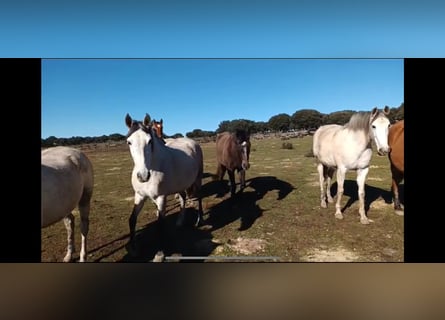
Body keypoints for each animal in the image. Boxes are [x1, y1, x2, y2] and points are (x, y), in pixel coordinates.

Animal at [123, 112, 203, 258]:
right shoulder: (139, 196)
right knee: (183, 197)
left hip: (198, 179)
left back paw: (199, 221)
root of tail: (192, 142)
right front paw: (134, 249)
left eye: (149, 141)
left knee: (199, 197)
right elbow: (132, 220)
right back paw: (180, 222)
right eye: (129, 142)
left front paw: (160, 253)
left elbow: (160, 225)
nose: (143, 176)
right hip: (180, 184)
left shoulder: (161, 198)